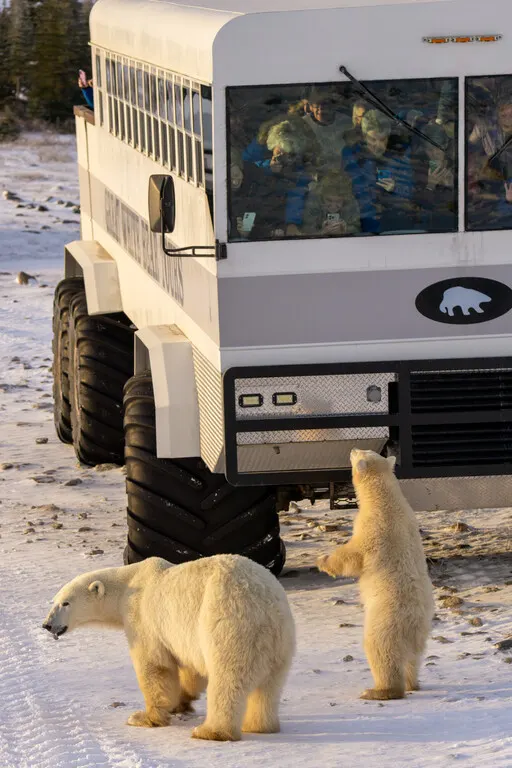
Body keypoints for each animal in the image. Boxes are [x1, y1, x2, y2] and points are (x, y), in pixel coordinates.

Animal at [42, 554, 296, 741]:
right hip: (280, 643)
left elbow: (154, 665)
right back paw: (259, 726)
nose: (47, 624)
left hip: (228, 624)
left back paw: (210, 731)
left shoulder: (143, 617)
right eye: (54, 601)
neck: (129, 584)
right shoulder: (185, 636)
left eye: (66, 603)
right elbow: (190, 666)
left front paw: (144, 717)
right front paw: (181, 701)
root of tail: (265, 604)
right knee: (269, 688)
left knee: (227, 681)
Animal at [317, 448, 434, 701]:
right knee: (412, 659)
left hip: (386, 620)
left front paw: (323, 561)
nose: (352, 449)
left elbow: (353, 555)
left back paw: (377, 690)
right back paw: (412, 683)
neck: (385, 498)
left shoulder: (373, 528)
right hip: (418, 634)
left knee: (381, 651)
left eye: (361, 453)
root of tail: (415, 624)